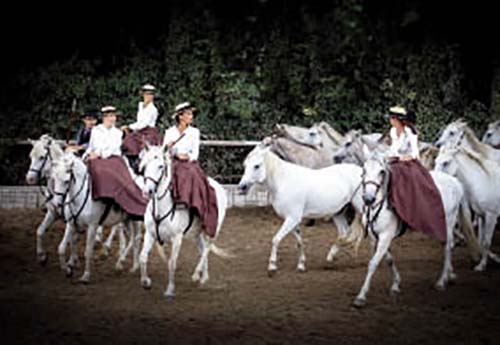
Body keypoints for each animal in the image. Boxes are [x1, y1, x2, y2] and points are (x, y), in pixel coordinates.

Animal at [50, 153, 142, 282]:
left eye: (66, 181)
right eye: (54, 179)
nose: (56, 204)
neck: (82, 195)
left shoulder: (92, 227)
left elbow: (88, 251)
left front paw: (86, 275)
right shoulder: (71, 225)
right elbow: (61, 248)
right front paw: (67, 270)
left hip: (134, 220)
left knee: (136, 239)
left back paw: (129, 265)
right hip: (126, 220)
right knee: (133, 239)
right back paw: (130, 266)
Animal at [138, 144, 229, 296]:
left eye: (161, 166)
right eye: (145, 165)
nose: (147, 192)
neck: (161, 209)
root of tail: (218, 186)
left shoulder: (177, 238)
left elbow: (172, 263)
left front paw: (170, 289)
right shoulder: (149, 234)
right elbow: (143, 257)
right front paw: (145, 282)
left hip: (213, 229)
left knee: (207, 248)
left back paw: (196, 274)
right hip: (197, 233)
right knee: (203, 249)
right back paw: (204, 277)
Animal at [238, 140, 364, 274]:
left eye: (257, 166)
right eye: (245, 165)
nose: (242, 187)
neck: (283, 181)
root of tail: (363, 171)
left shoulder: (292, 218)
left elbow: (276, 239)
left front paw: (272, 266)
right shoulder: (292, 219)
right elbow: (299, 242)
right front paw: (301, 265)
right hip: (338, 213)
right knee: (344, 233)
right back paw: (330, 257)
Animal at [350, 148, 482, 306]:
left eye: (381, 172)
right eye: (364, 170)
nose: (368, 199)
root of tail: (455, 182)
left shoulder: (385, 236)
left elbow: (373, 263)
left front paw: (361, 296)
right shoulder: (374, 237)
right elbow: (388, 259)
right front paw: (396, 285)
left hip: (449, 222)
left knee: (448, 246)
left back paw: (442, 281)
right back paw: (450, 275)